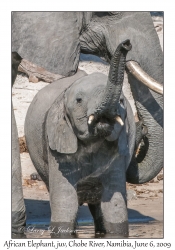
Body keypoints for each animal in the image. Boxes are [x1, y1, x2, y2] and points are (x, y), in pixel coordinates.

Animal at [24, 40, 135, 237]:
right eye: (79, 100)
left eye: (122, 101)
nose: (126, 44)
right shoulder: (58, 143)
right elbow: (65, 199)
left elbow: (114, 201)